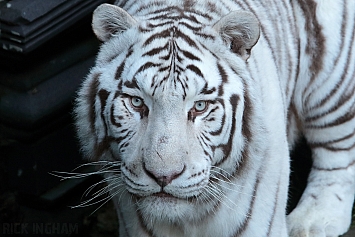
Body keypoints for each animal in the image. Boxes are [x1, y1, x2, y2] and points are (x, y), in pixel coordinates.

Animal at [74, 0, 355, 236]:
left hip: (333, 87)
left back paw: (313, 221)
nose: (163, 177)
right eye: (136, 102)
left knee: (337, 151)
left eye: (200, 106)